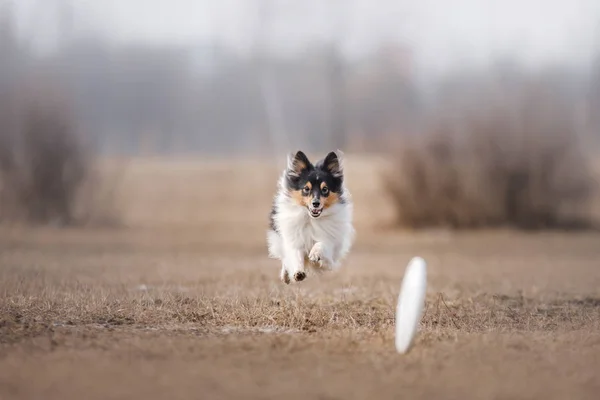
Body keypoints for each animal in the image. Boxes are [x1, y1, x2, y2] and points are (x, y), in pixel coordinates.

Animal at [264, 150, 354, 284]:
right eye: (306, 189)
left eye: (325, 189)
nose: (315, 203)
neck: (312, 219)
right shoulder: (295, 239)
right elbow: (296, 256)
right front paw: (298, 273)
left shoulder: (330, 240)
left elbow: (322, 244)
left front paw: (315, 254)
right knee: (285, 259)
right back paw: (286, 276)